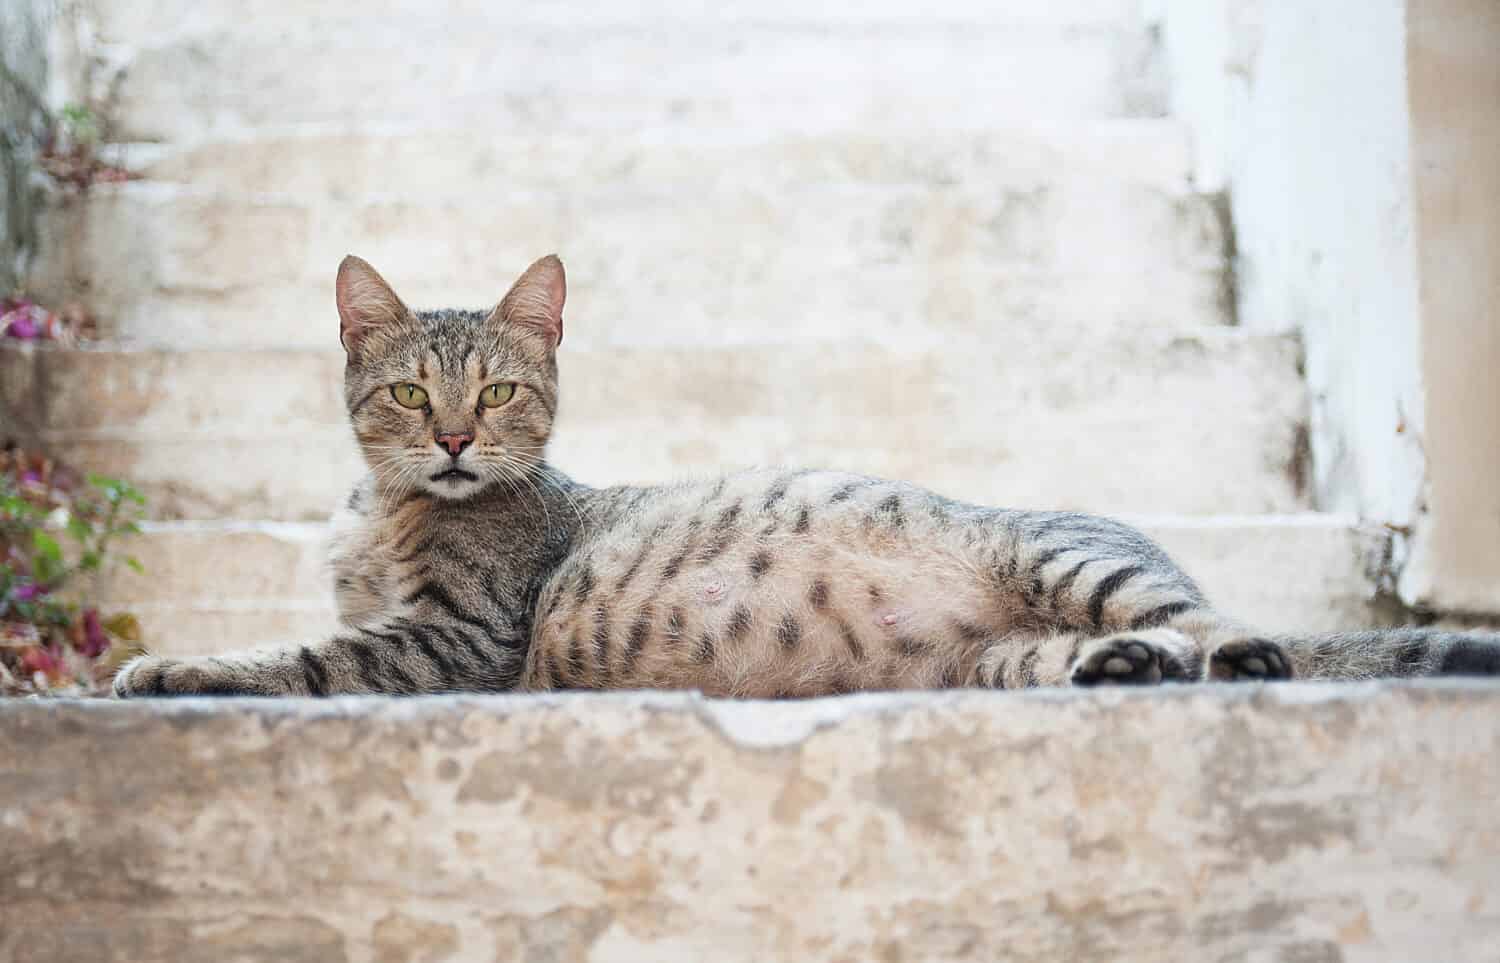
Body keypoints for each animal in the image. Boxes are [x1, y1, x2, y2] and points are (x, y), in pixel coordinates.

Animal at [114, 252, 1500, 693]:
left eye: (497, 394)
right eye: (411, 393)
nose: (454, 440)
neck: (388, 511)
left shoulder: (458, 639)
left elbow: (300, 657)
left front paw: (169, 669)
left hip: (1074, 557)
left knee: (1232, 631)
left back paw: (1239, 656)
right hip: (1000, 661)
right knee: (1118, 657)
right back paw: (1128, 670)